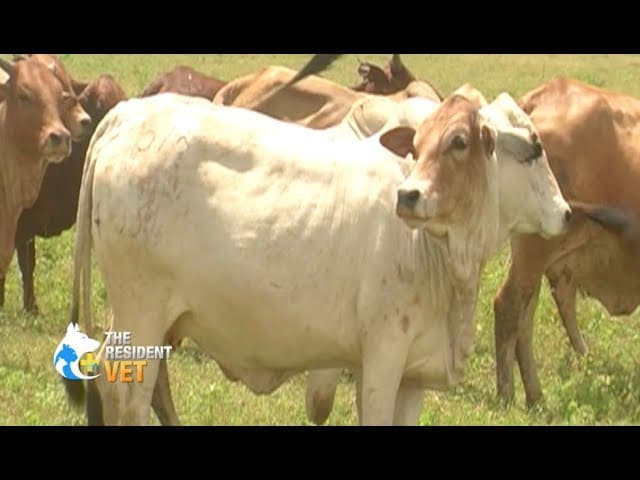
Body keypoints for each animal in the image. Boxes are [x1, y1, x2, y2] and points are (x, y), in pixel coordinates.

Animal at [64, 91, 571, 425]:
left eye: (458, 142)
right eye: (535, 149)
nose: (565, 212)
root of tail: (129, 114)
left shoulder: (413, 375)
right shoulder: (382, 356)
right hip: (141, 311)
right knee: (126, 392)